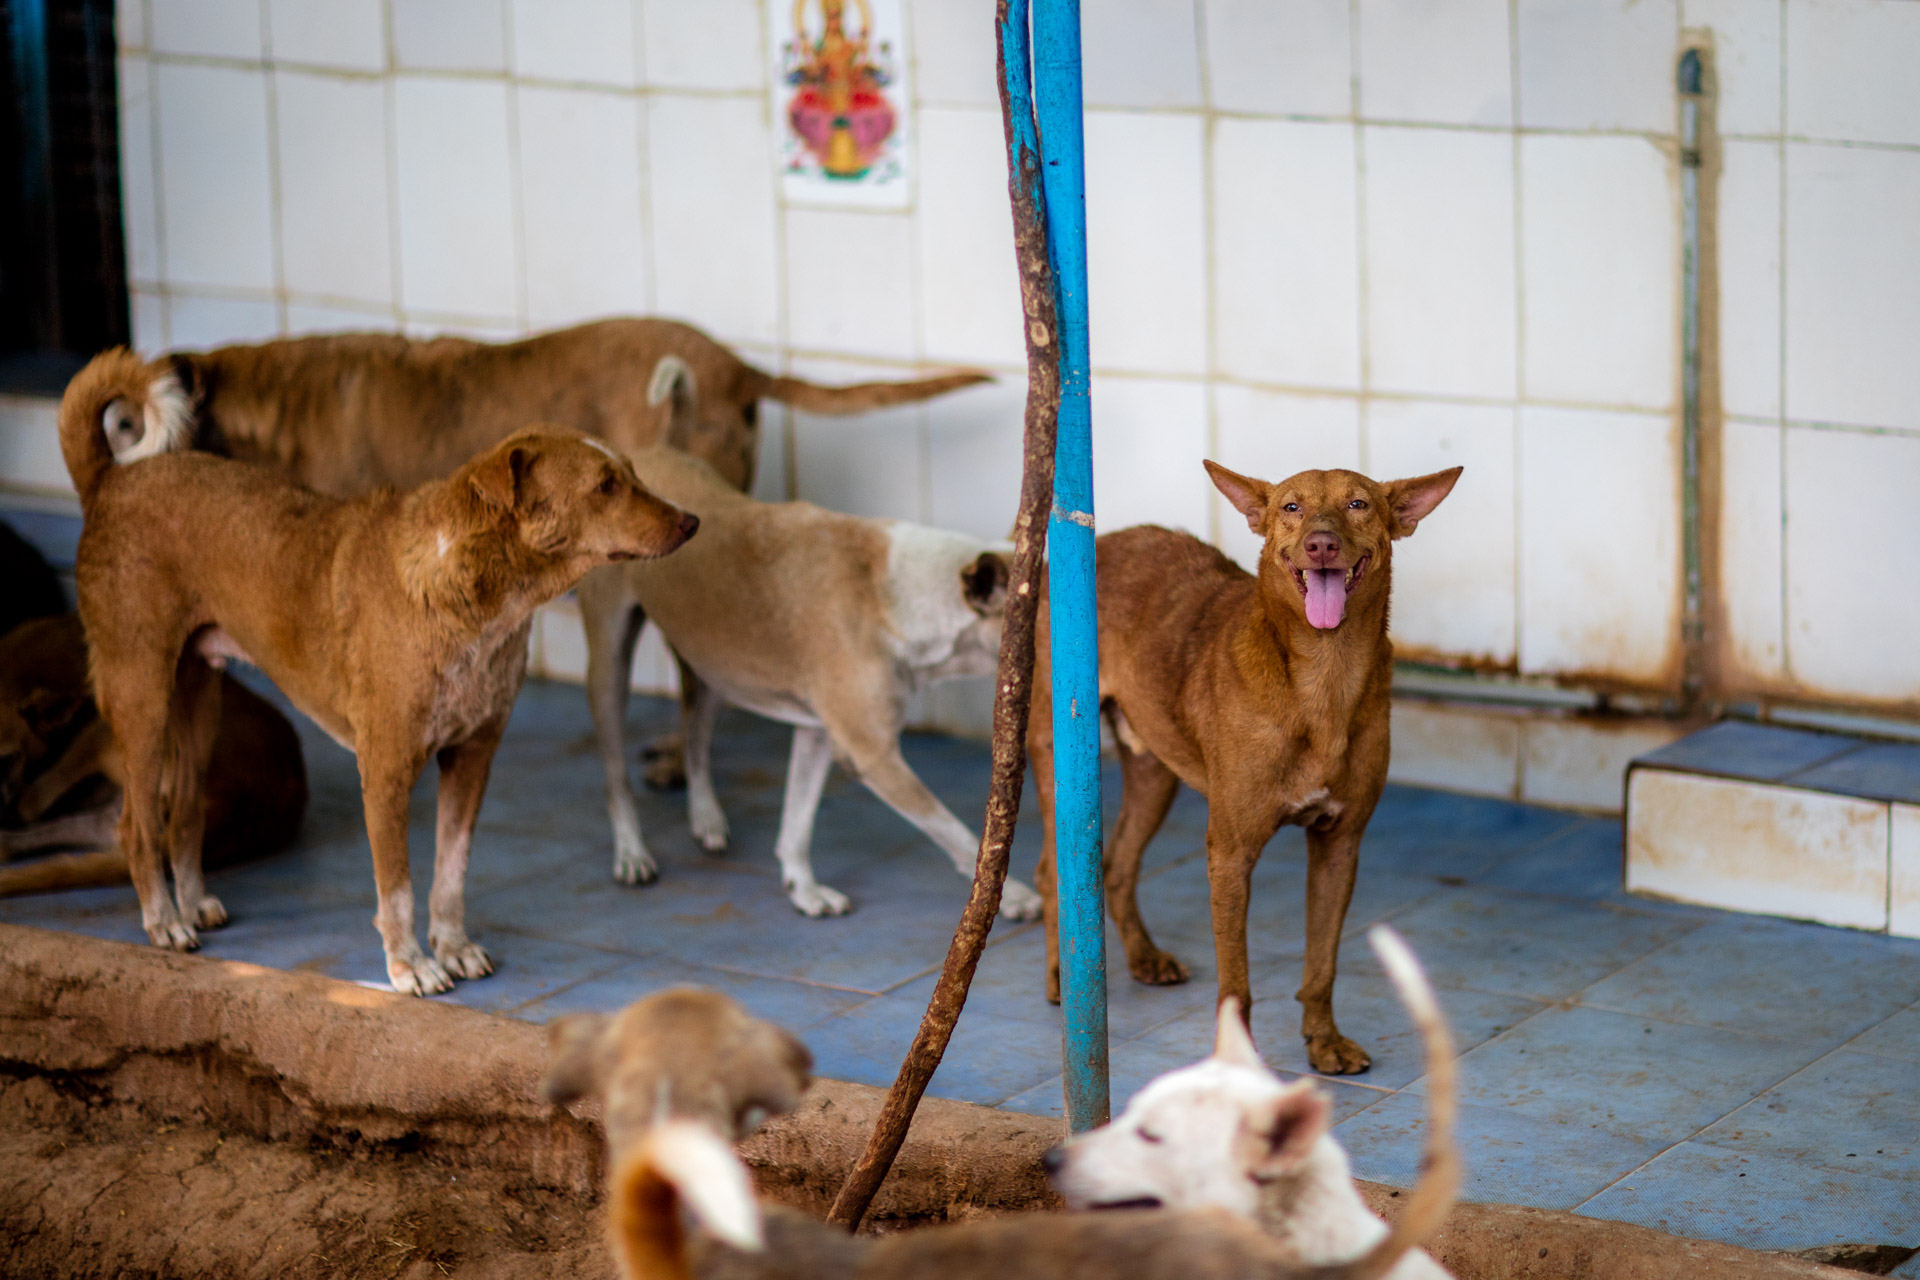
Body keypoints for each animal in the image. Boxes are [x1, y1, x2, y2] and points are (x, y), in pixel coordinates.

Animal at [0, 613, 307, 895]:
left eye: (9, 758)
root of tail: (248, 807)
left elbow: (38, 793)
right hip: (119, 813)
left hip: (115, 732)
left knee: (38, 802)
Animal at [60, 349, 697, 993]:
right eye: (605, 486)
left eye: (633, 473)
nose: (692, 521)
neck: (473, 597)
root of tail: (110, 479)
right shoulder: (386, 768)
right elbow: (397, 888)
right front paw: (410, 966)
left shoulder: (473, 754)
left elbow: (450, 872)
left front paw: (453, 948)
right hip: (142, 694)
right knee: (137, 826)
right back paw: (163, 922)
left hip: (201, 698)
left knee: (186, 813)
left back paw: (192, 906)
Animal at [574, 444, 1043, 920]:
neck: (898, 596)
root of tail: (634, 452)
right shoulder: (873, 756)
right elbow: (958, 835)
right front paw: (1013, 896)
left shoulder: (816, 734)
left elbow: (797, 824)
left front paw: (803, 889)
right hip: (611, 670)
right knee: (616, 776)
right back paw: (631, 853)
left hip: (715, 672)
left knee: (694, 738)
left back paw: (706, 817)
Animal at [1029, 462, 1460, 1073]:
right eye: (1291, 507)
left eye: (1358, 504)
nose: (1321, 545)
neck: (1323, 678)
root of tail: (1100, 542)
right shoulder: (1230, 853)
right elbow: (1236, 982)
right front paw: (1237, 1066)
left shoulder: (1340, 844)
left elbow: (1322, 964)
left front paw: (1324, 1040)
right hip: (1057, 759)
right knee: (1052, 872)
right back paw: (1062, 979)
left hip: (1153, 774)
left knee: (1117, 865)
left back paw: (1143, 957)